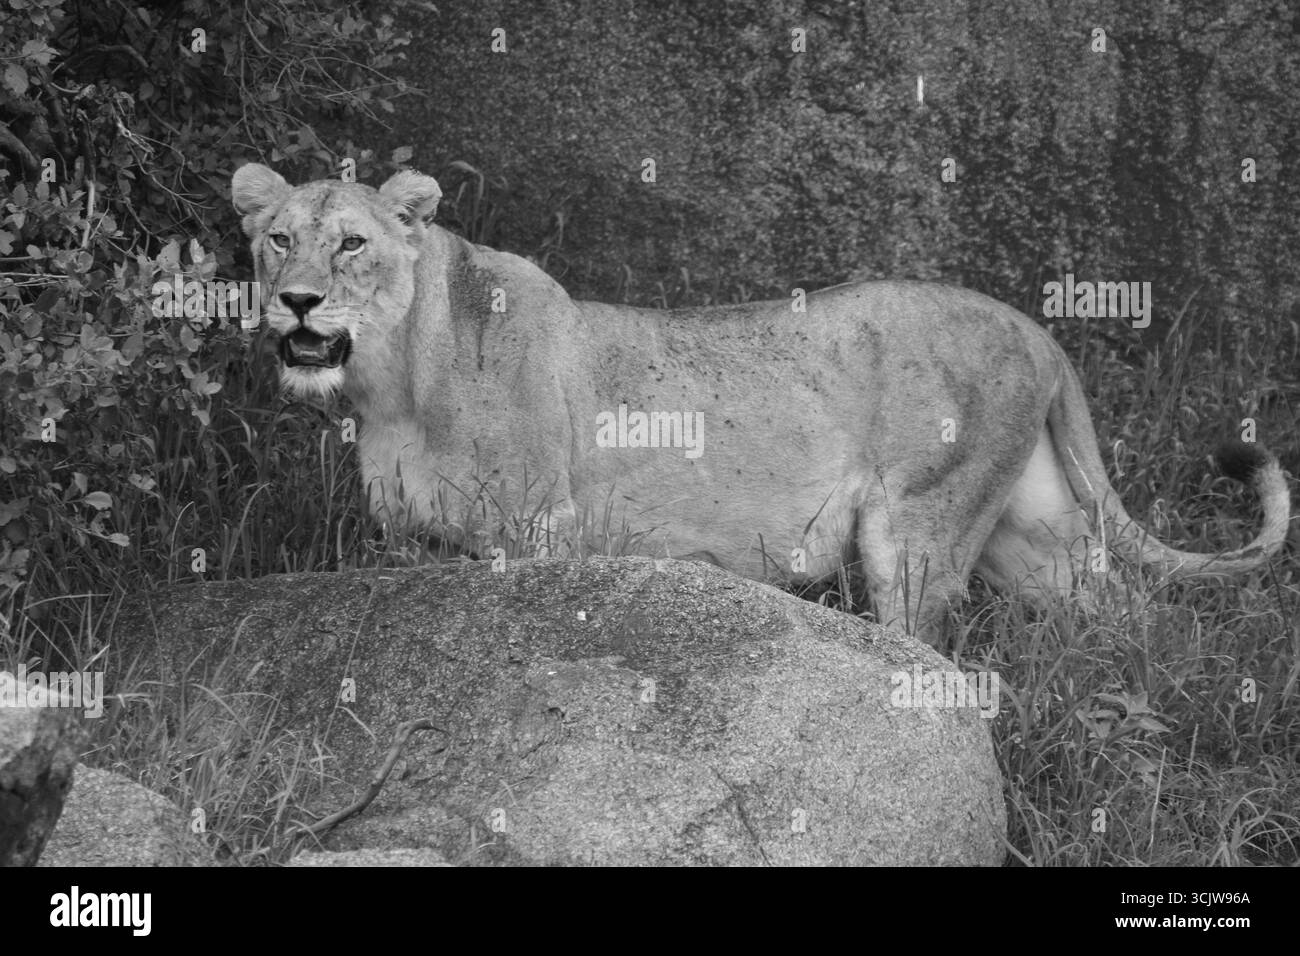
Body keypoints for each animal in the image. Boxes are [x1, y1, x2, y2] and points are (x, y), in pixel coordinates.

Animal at [231, 162, 1291, 644]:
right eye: (278, 239)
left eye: (354, 244)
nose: (298, 301)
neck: (395, 383)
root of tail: (1037, 328)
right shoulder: (409, 544)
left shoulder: (538, 530)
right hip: (1028, 529)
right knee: (1121, 615)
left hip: (917, 526)